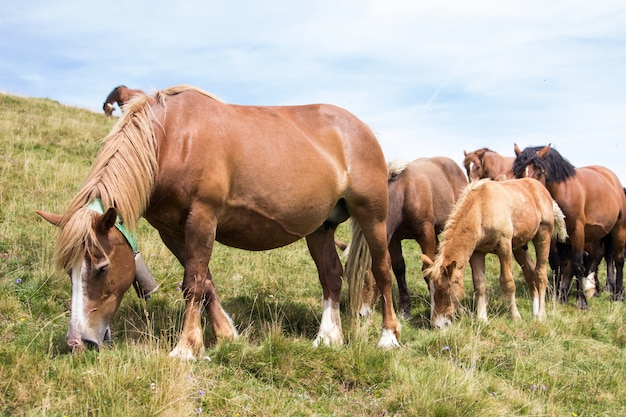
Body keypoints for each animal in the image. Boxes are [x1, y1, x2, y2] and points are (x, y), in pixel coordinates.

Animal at [36, 84, 400, 358]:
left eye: (101, 268)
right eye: (69, 270)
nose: (78, 342)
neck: (171, 140)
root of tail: (361, 130)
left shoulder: (203, 217)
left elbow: (193, 283)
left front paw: (185, 348)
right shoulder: (171, 230)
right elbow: (204, 281)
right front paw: (225, 335)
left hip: (373, 217)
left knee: (382, 271)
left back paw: (388, 337)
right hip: (320, 228)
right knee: (331, 276)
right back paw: (328, 336)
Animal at [344, 156, 466, 318]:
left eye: (366, 279)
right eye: (347, 275)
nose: (358, 313)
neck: (405, 193)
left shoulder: (426, 234)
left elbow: (427, 269)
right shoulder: (394, 239)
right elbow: (399, 268)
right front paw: (405, 308)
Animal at [420, 177, 564, 326]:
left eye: (445, 292)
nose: (437, 324)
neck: (481, 209)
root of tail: (543, 191)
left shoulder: (504, 247)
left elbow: (507, 282)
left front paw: (515, 317)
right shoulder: (477, 253)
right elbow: (479, 284)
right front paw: (482, 319)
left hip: (543, 236)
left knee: (540, 274)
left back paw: (541, 315)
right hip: (520, 247)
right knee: (530, 274)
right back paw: (534, 313)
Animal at [512, 144, 624, 306]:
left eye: (540, 171)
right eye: (518, 172)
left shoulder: (577, 232)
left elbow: (577, 263)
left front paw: (581, 301)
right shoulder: (555, 236)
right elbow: (557, 264)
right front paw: (559, 296)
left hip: (618, 229)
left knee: (617, 259)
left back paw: (617, 293)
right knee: (596, 257)